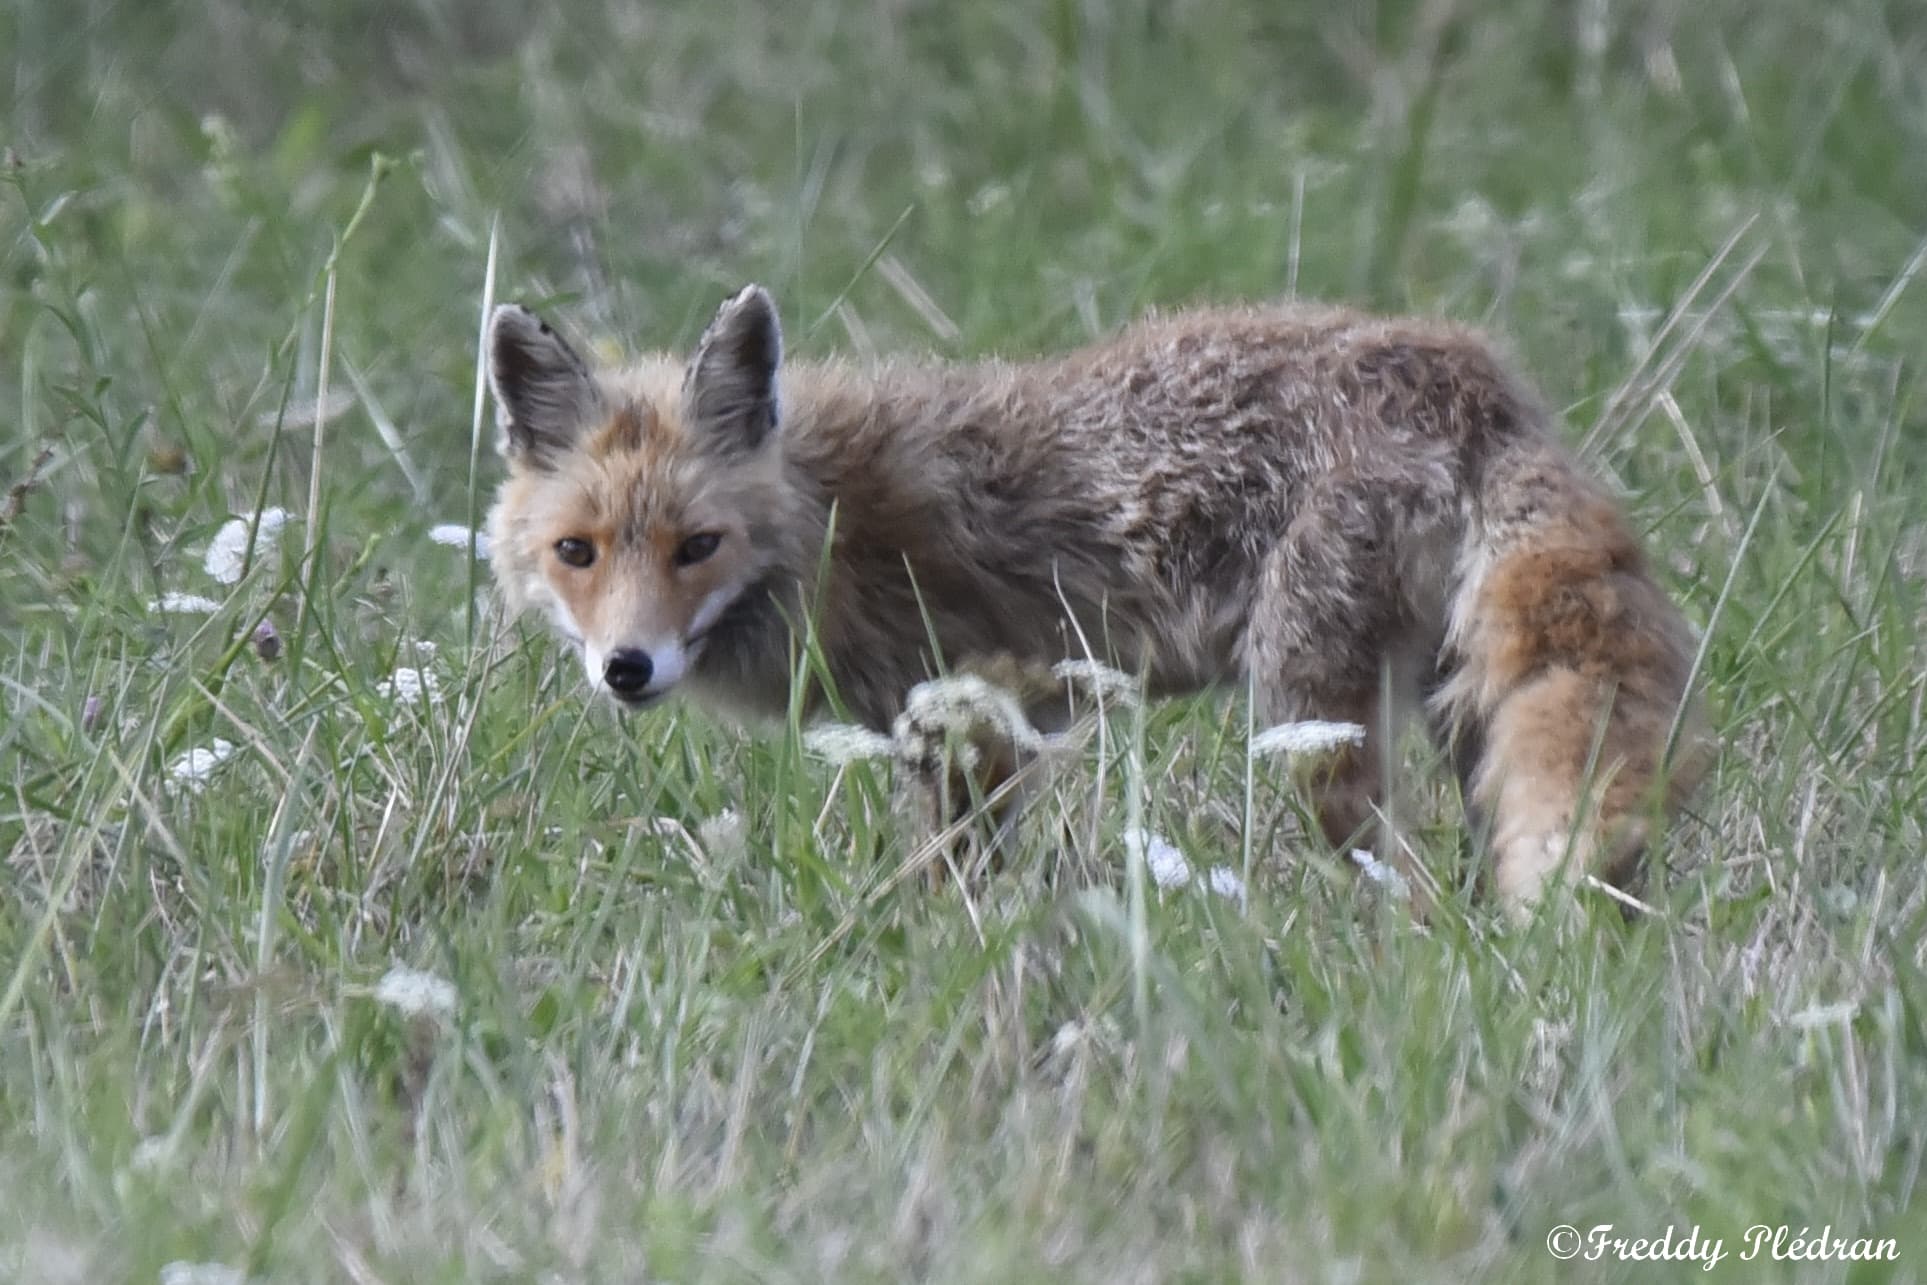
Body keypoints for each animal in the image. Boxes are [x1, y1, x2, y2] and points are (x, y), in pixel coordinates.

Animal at [485, 285, 1711, 913]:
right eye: (577, 552)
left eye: (695, 546)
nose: (626, 668)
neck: (833, 521)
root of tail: (1471, 377)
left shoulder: (976, 720)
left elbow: (943, 892)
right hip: (1457, 714)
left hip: (1309, 724)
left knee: (1404, 885)